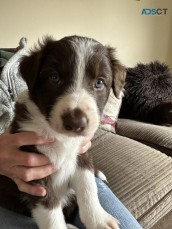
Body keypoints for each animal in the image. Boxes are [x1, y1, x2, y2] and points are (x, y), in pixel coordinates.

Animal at [0, 35, 126, 229]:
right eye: (54, 78)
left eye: (99, 82)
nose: (76, 122)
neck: (61, 137)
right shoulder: (33, 170)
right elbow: (50, 210)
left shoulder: (81, 154)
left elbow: (88, 185)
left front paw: (98, 219)